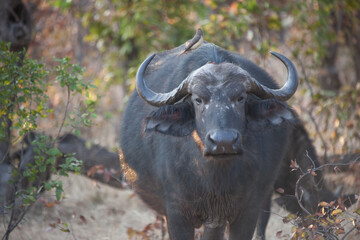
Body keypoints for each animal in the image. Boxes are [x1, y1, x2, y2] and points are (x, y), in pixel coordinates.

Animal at [119, 29, 324, 239]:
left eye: (241, 98)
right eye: (198, 99)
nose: (223, 141)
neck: (214, 180)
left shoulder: (246, 211)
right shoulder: (176, 213)